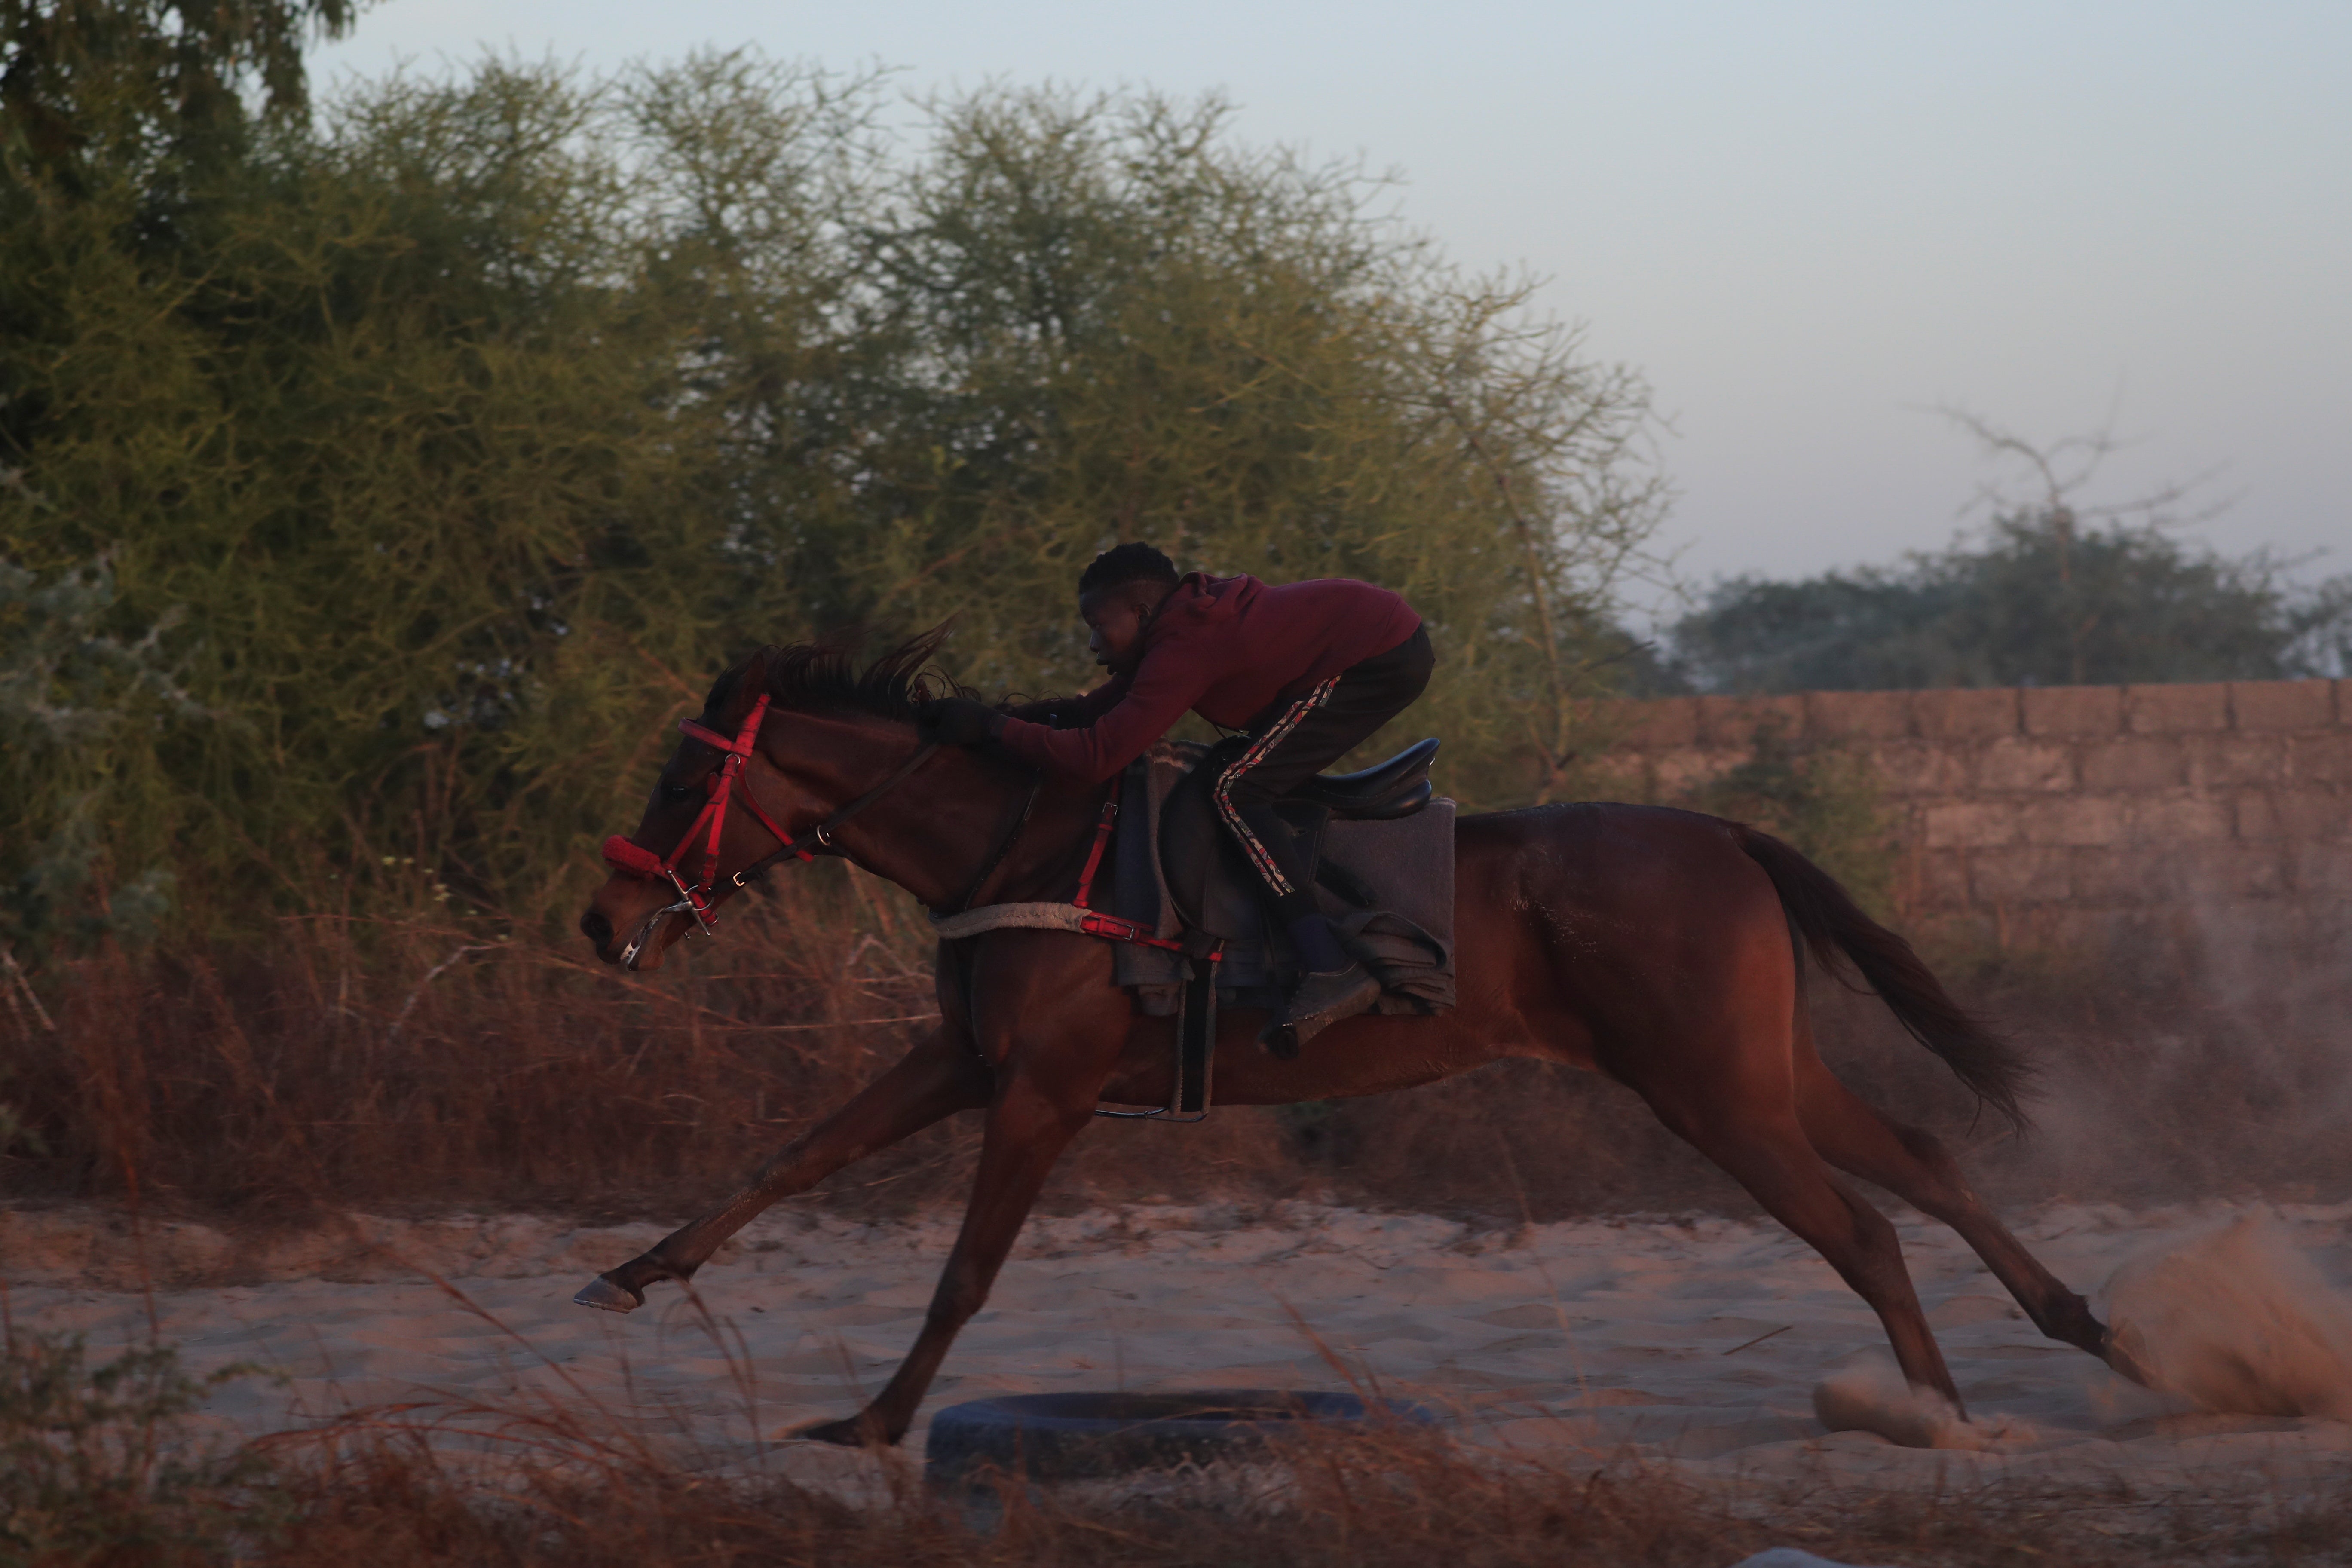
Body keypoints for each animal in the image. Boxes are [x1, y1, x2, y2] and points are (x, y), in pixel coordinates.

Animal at [579, 639, 2145, 1448]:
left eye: (678, 784)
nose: (604, 920)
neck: (1022, 844)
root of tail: (1724, 831)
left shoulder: (1044, 1090)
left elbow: (966, 1270)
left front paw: (876, 1421)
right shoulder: (965, 1062)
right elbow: (794, 1157)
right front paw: (633, 1273)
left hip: (1711, 1089)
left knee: (1864, 1226)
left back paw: (1941, 1413)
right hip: (1760, 1067)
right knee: (1927, 1160)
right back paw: (2082, 1334)